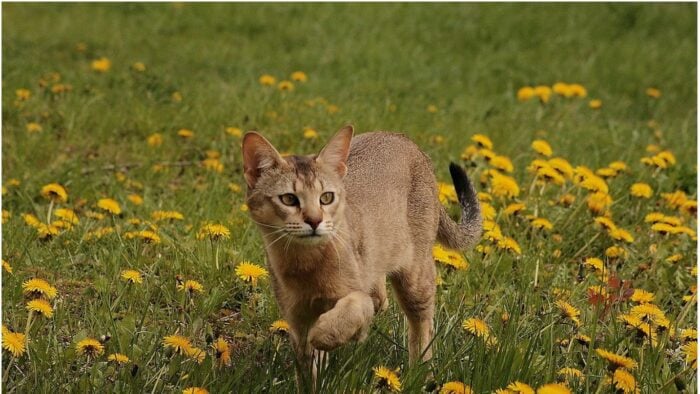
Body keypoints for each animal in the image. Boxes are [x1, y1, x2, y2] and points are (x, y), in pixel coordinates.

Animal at [242, 125, 482, 388]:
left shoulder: (352, 300)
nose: (315, 221)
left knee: (422, 325)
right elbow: (308, 372)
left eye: (326, 197)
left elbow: (353, 309)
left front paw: (324, 334)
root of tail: (404, 139)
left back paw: (420, 375)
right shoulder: (296, 319)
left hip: (416, 278)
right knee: (381, 298)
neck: (307, 266)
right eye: (288, 199)